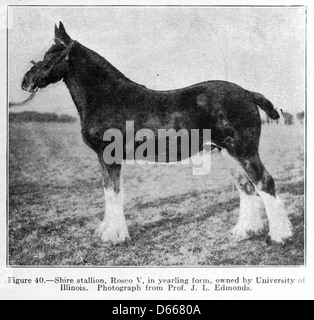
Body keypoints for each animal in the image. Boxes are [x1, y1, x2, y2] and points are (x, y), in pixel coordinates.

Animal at [21, 21, 292, 245]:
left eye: (51, 54)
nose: (26, 81)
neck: (108, 97)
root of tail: (247, 93)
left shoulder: (110, 156)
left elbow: (114, 193)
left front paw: (114, 236)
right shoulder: (103, 158)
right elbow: (108, 191)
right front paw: (107, 230)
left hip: (244, 151)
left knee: (264, 183)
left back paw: (279, 235)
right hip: (227, 152)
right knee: (246, 187)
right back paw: (244, 231)